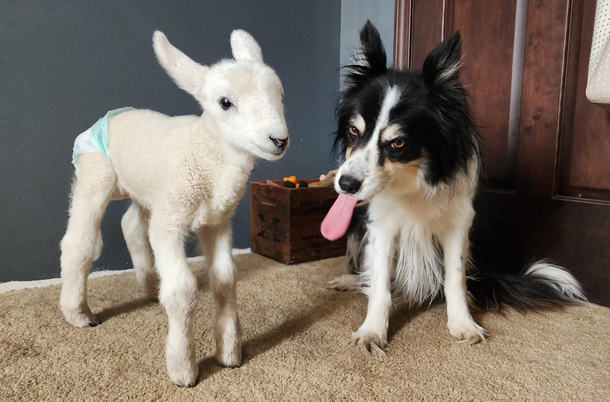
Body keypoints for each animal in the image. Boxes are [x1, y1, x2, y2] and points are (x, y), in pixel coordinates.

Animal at [59, 29, 288, 386]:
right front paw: (183, 368)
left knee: (132, 225)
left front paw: (229, 353)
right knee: (79, 241)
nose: (279, 140)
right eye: (225, 102)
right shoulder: (170, 225)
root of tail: (116, 112)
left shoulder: (217, 221)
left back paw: (151, 286)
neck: (207, 153)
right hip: (97, 171)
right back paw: (79, 314)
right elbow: (182, 291)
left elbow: (225, 279)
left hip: (148, 190)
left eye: (280, 95)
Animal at [326, 22, 580, 354]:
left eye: (398, 143)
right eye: (354, 130)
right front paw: (372, 330)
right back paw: (350, 280)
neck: (416, 179)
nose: (345, 185)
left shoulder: (459, 224)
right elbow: (380, 282)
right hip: (356, 227)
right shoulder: (379, 225)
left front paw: (463, 322)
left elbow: (455, 278)